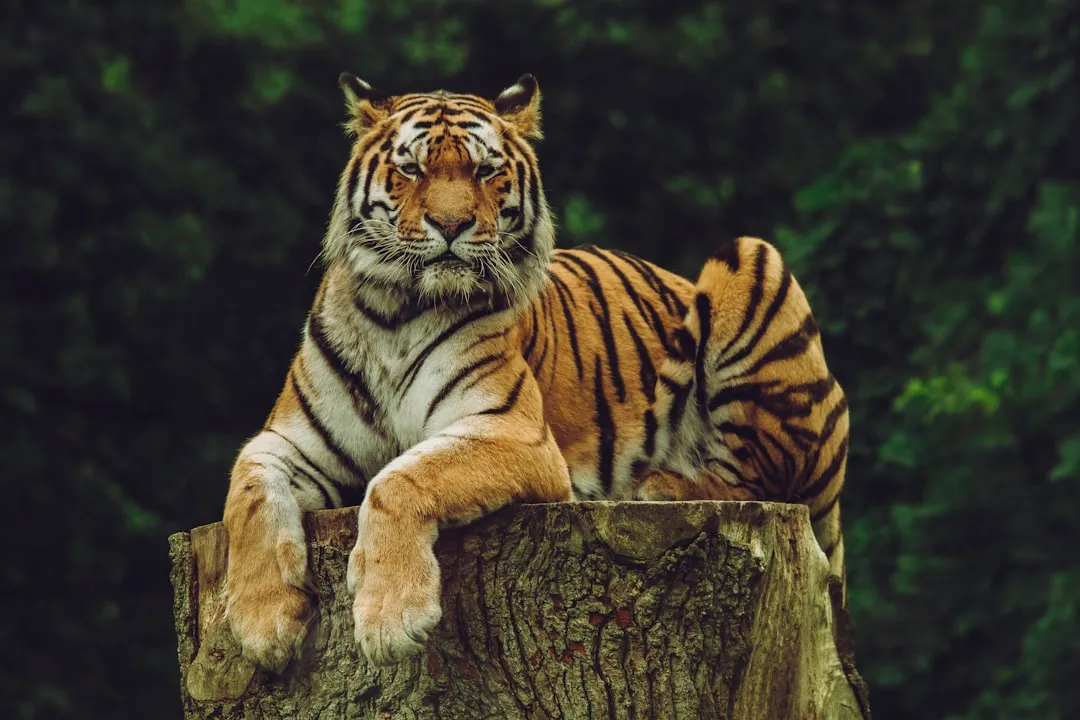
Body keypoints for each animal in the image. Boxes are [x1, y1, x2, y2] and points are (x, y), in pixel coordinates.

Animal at [222, 73, 849, 671]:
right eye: (411, 168)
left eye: (484, 170)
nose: (451, 224)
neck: (395, 314)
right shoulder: (289, 441)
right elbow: (247, 497)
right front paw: (262, 625)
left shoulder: (512, 432)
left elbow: (400, 478)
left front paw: (390, 619)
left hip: (752, 259)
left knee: (761, 478)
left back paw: (662, 484)